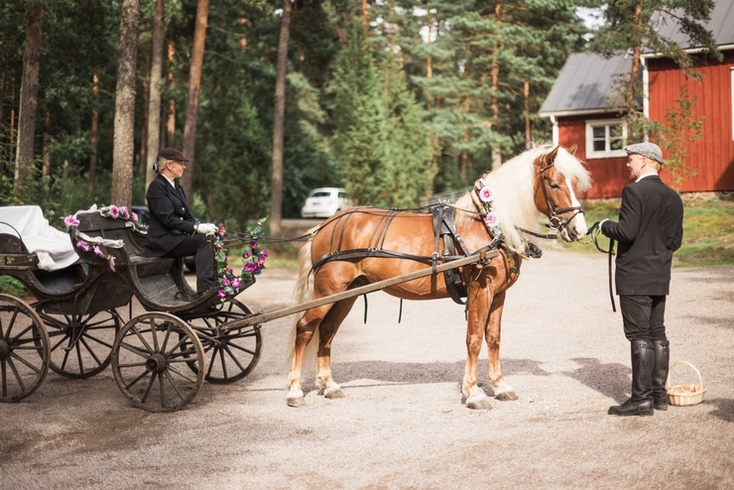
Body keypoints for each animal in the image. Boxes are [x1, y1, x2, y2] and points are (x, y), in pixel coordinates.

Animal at [286, 145, 592, 410]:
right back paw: (294, 391)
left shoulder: (499, 294)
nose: (579, 229)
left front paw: (500, 386)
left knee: (327, 332)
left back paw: (329, 385)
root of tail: (324, 226)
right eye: (555, 185)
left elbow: (493, 338)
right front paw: (474, 392)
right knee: (305, 329)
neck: (488, 225)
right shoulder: (481, 290)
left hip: (346, 295)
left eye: (574, 185)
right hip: (327, 293)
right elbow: (474, 339)